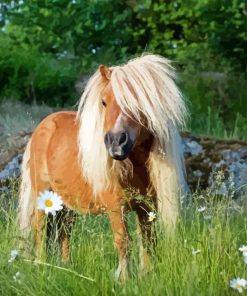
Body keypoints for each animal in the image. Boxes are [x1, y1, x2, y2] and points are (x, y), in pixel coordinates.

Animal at [18, 53, 187, 280]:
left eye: (137, 103)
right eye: (104, 102)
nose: (116, 142)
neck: (136, 168)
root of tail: (43, 126)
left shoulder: (147, 207)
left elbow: (148, 243)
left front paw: (147, 275)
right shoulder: (116, 207)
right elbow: (123, 242)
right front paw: (125, 280)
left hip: (66, 204)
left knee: (64, 233)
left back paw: (66, 267)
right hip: (42, 195)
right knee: (40, 231)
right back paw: (41, 267)